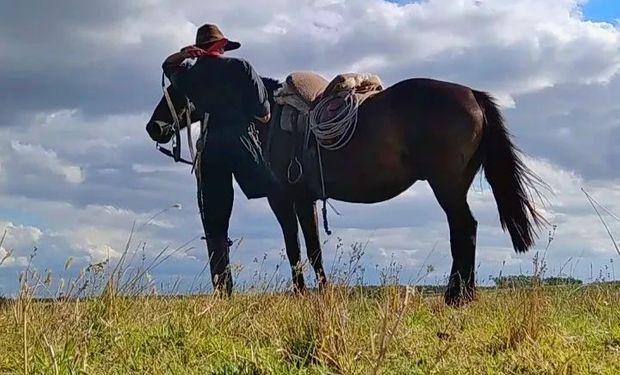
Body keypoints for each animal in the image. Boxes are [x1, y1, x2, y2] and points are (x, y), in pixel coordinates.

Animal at [144, 75, 544, 306]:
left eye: (179, 88)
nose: (154, 127)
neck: (266, 118)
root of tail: (472, 94)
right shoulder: (303, 199)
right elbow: (310, 245)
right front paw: (318, 291)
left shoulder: (284, 198)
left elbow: (297, 246)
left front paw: (304, 293)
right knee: (465, 230)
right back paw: (463, 294)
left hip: (446, 186)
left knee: (464, 229)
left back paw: (456, 296)